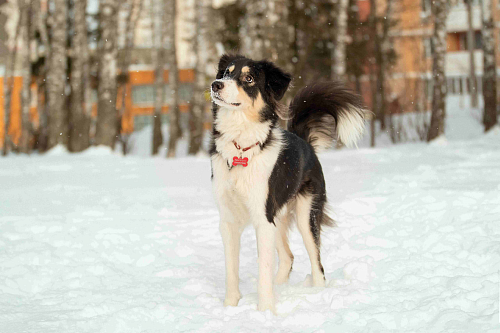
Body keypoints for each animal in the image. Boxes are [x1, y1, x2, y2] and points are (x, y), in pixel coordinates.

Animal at [209, 53, 366, 312]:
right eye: (225, 73)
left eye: (249, 79)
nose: (215, 85)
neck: (241, 149)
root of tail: (305, 142)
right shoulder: (229, 220)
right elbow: (231, 270)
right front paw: (230, 307)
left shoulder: (263, 218)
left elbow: (263, 269)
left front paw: (264, 312)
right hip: (279, 218)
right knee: (288, 257)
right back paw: (280, 287)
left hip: (306, 215)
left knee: (318, 265)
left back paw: (317, 295)